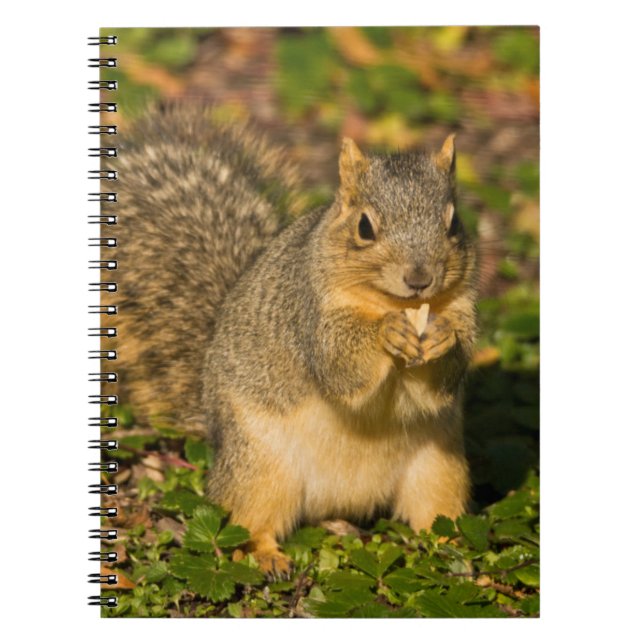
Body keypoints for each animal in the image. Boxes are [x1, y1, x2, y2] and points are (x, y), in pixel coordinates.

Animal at [105, 106, 478, 579]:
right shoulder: (309, 315)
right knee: (247, 520)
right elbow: (341, 365)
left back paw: (454, 548)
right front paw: (386, 334)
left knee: (434, 514)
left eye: (453, 223)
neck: (392, 303)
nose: (419, 278)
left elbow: (444, 378)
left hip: (440, 468)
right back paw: (265, 555)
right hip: (260, 467)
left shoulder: (463, 307)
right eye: (364, 227)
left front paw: (443, 338)